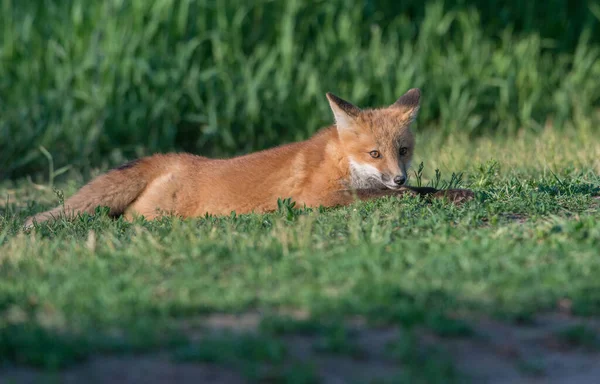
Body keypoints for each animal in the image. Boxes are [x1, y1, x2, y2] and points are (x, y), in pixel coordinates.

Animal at [22, 89, 474, 228]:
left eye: (403, 151)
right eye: (374, 153)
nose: (397, 177)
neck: (340, 161)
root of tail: (175, 157)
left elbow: (426, 189)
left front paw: (456, 193)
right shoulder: (315, 200)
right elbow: (400, 197)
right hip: (160, 213)